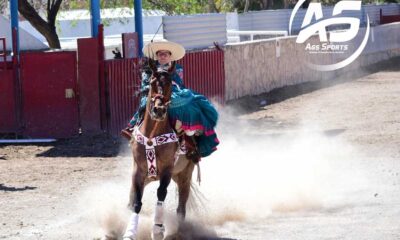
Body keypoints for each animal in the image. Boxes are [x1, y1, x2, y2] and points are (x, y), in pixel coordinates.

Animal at [122, 58, 197, 240]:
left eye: (170, 83)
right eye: (151, 82)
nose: (159, 110)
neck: (152, 135)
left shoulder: (167, 171)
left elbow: (161, 194)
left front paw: (157, 229)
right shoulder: (138, 171)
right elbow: (137, 202)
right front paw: (130, 232)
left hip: (184, 176)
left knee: (181, 208)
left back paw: (178, 231)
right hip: (149, 177)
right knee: (131, 199)